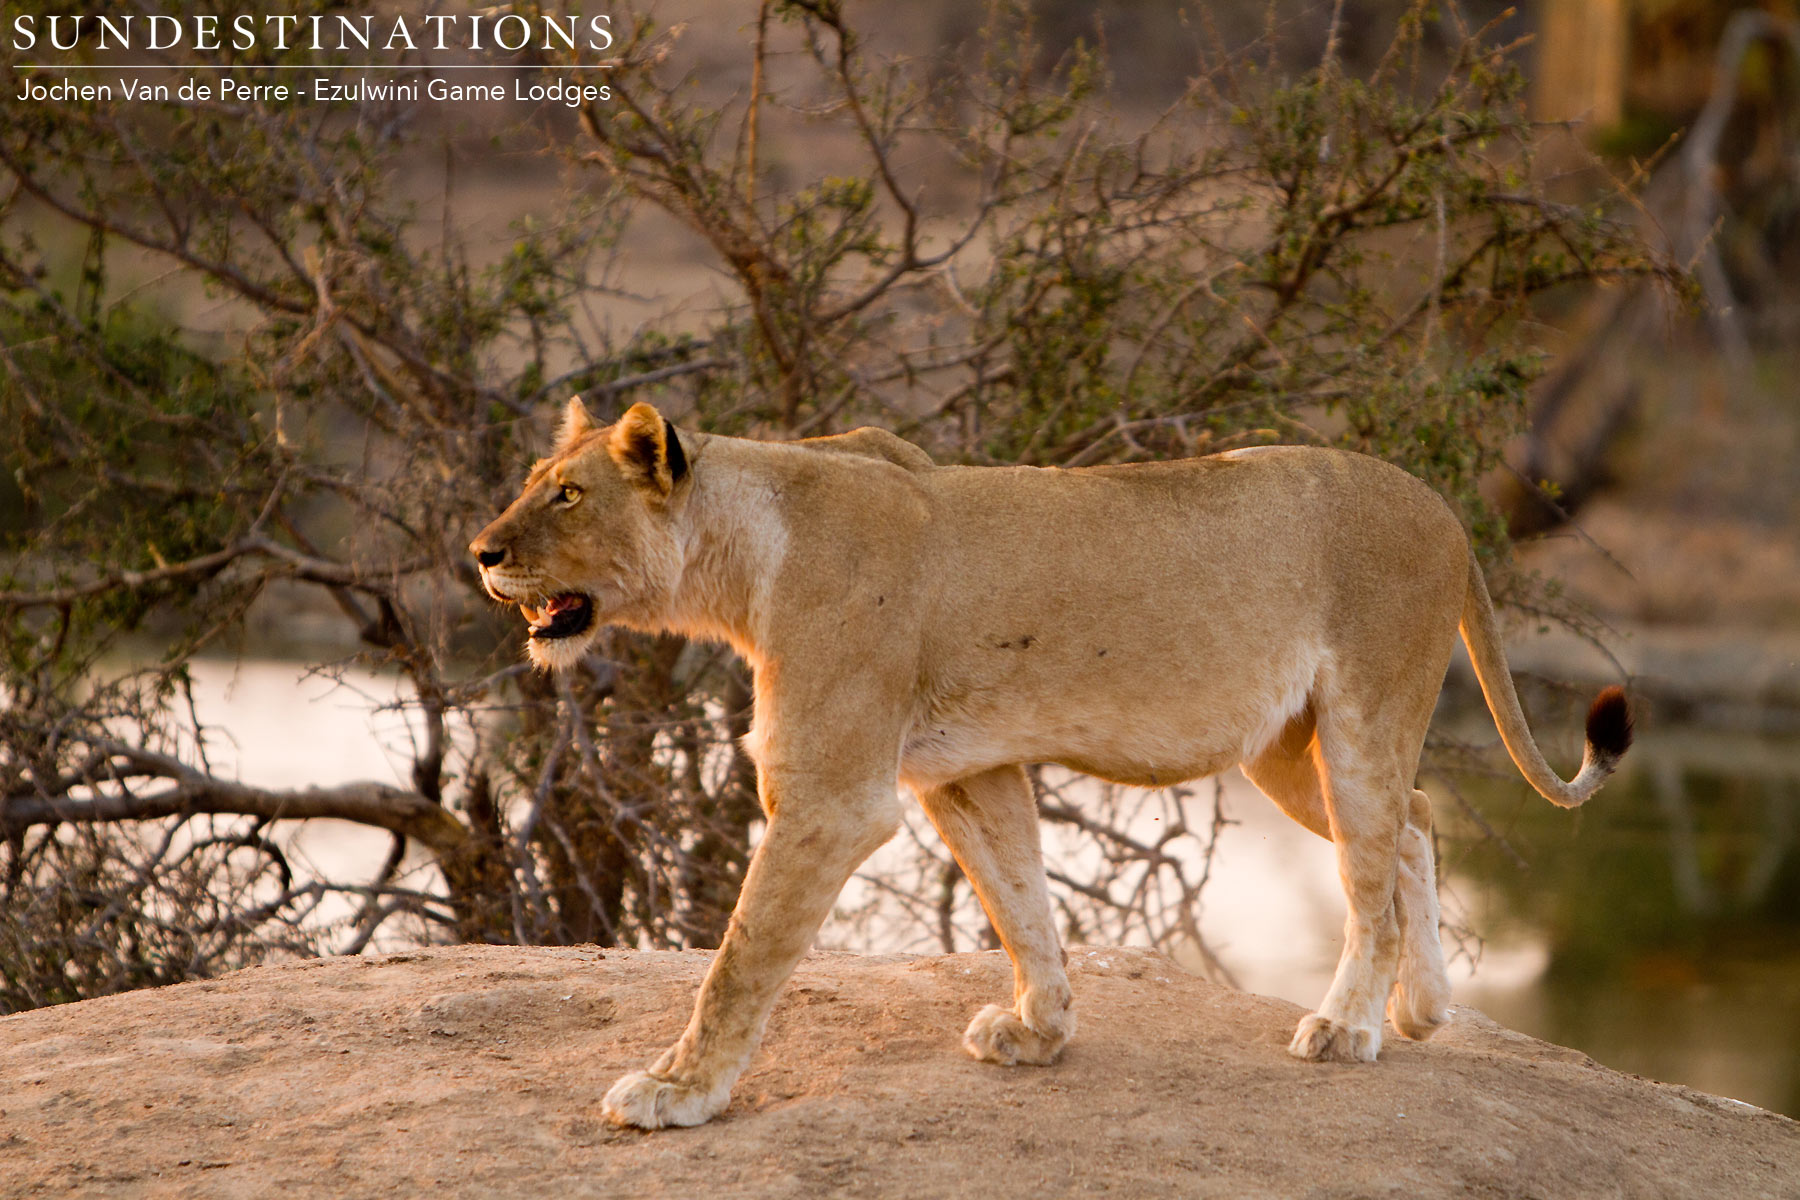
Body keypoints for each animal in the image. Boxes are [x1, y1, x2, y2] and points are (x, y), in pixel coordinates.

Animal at [469, 397, 1632, 1131]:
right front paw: (1040, 1031)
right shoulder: (964, 771)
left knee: (1373, 881)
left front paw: (679, 1093)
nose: (482, 551)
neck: (744, 551)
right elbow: (1019, 899)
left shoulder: (835, 799)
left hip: (1360, 717)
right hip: (1285, 753)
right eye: (530, 484)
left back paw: (1349, 1027)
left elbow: (741, 960)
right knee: (1419, 823)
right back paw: (1422, 1012)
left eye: (568, 496)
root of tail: (1446, 510)